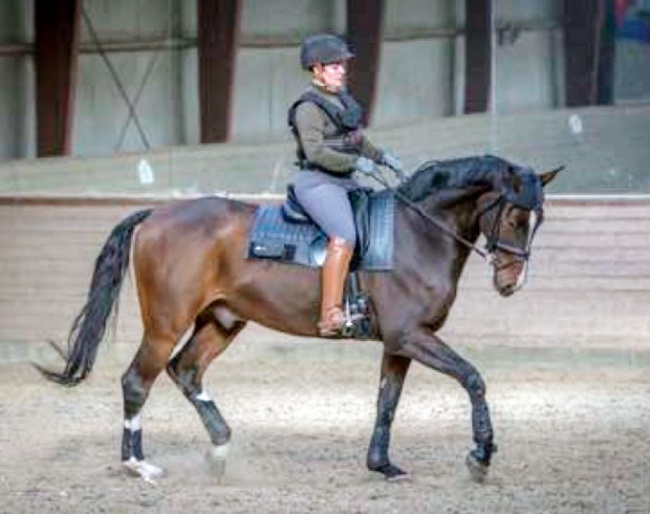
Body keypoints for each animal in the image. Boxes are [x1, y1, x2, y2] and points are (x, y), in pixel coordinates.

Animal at [38, 154, 556, 482]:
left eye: (539, 220)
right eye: (515, 216)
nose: (512, 283)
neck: (416, 232)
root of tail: (156, 215)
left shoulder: (398, 342)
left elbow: (386, 401)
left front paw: (381, 465)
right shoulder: (412, 336)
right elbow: (473, 378)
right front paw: (480, 455)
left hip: (221, 321)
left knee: (185, 371)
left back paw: (221, 447)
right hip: (166, 323)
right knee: (136, 381)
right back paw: (138, 465)